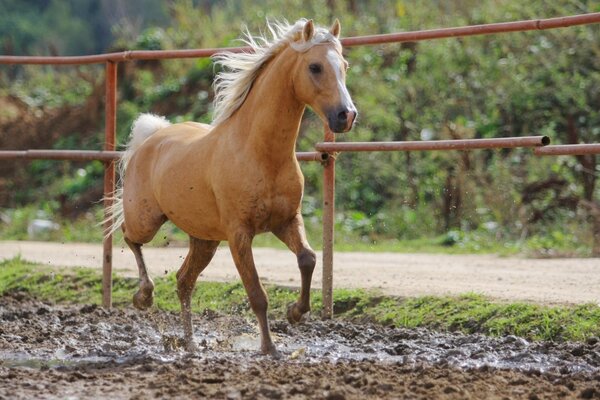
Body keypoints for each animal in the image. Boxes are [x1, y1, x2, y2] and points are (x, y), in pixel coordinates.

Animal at [108, 19, 356, 356]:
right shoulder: (239, 234)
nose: (347, 115)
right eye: (315, 67)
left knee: (184, 281)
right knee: (130, 237)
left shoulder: (287, 221)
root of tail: (152, 137)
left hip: (205, 239)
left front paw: (295, 312)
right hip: (146, 220)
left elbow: (308, 258)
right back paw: (144, 297)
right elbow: (257, 294)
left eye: (344, 65)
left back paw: (190, 344)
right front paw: (269, 348)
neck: (260, 154)